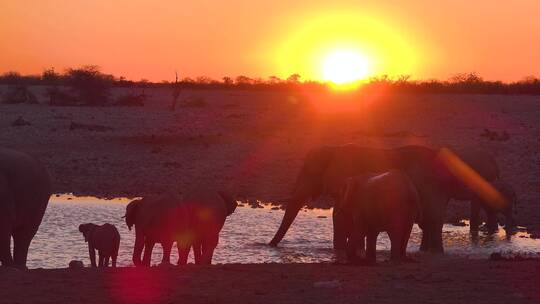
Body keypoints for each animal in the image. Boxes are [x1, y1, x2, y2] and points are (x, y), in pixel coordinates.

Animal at [270, 144, 502, 253]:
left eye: (308, 173)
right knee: (429, 222)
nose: (269, 246)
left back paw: (434, 253)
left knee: (433, 220)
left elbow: (341, 216)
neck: (334, 149)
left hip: (429, 188)